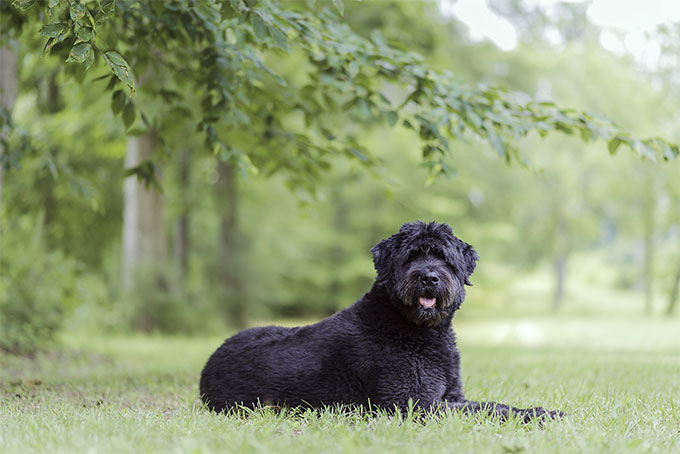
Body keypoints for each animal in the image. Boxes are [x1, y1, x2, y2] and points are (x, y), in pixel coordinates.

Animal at [199, 221, 560, 422]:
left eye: (444, 258)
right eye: (411, 256)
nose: (429, 278)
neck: (414, 331)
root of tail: (208, 364)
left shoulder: (450, 397)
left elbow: (493, 404)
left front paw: (539, 411)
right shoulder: (416, 404)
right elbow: (487, 409)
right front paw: (539, 415)